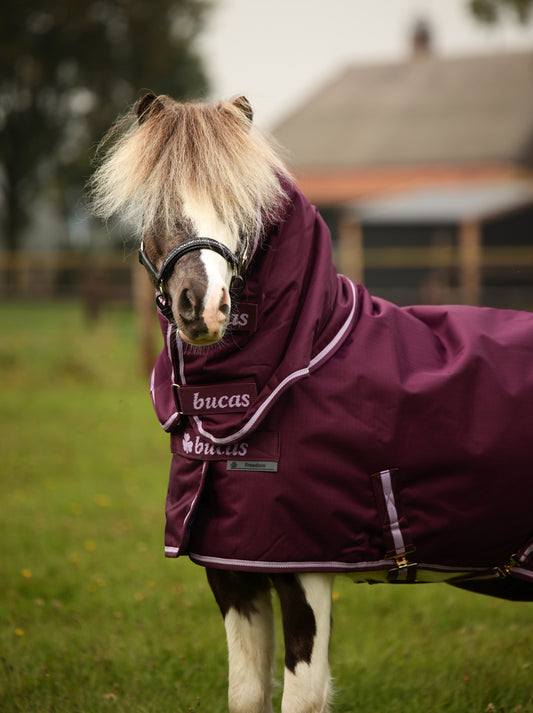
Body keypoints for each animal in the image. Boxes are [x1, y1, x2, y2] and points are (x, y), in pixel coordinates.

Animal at [90, 93, 533, 713]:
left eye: (243, 205)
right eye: (160, 204)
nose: (203, 307)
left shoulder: (304, 570)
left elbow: (300, 697)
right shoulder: (231, 572)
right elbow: (245, 695)